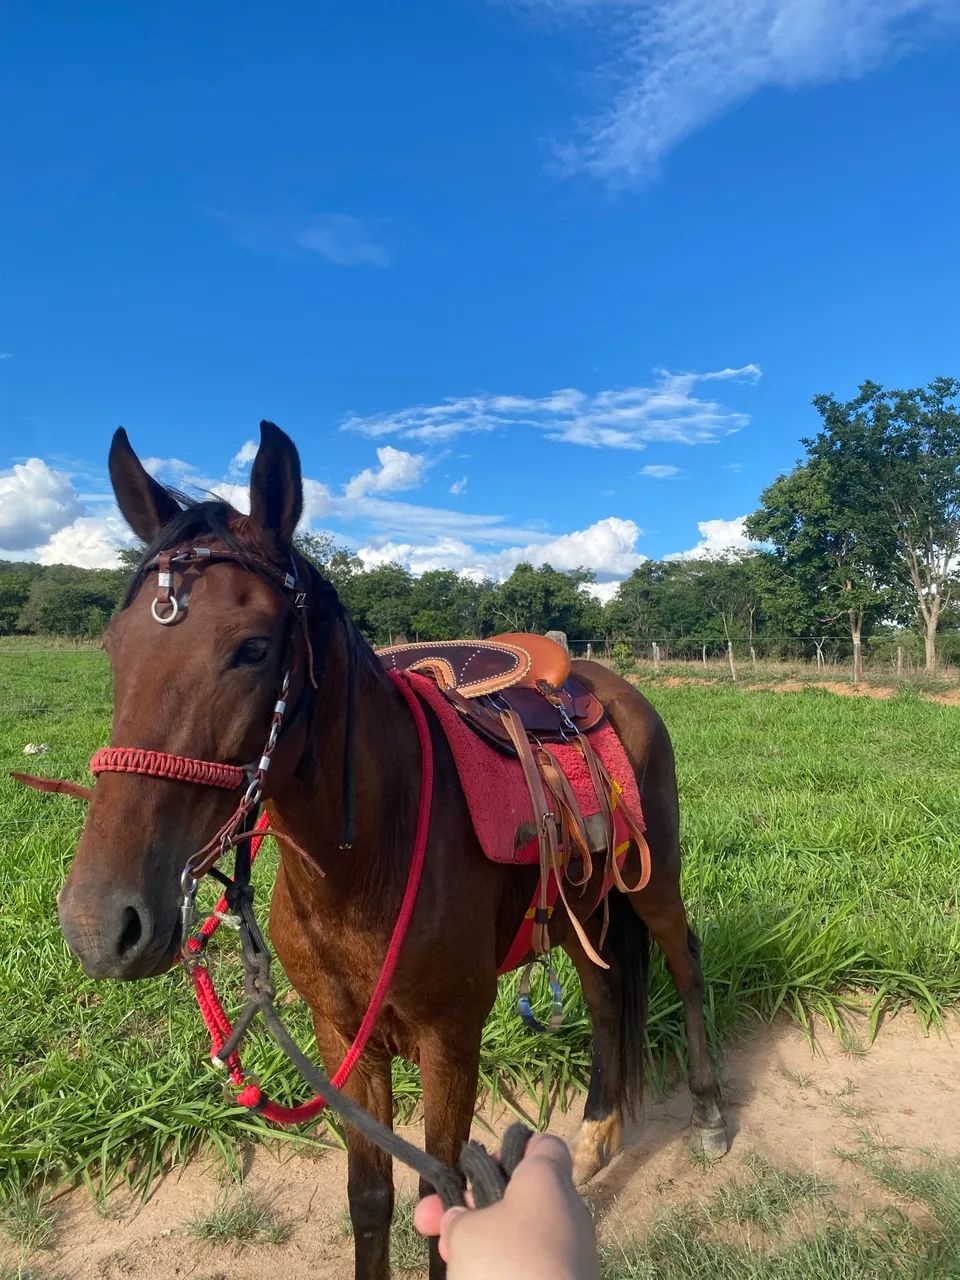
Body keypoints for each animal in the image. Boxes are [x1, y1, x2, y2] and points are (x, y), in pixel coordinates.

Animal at [56, 421, 726, 1280]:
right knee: (608, 993)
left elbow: (443, 1197)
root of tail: (616, 686)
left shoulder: (451, 1044)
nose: (99, 924)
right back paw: (595, 1138)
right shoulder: (344, 1041)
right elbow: (370, 1200)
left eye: (253, 647)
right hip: (585, 903)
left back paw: (708, 1115)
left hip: (652, 881)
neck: (364, 858)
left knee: (685, 962)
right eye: (114, 648)